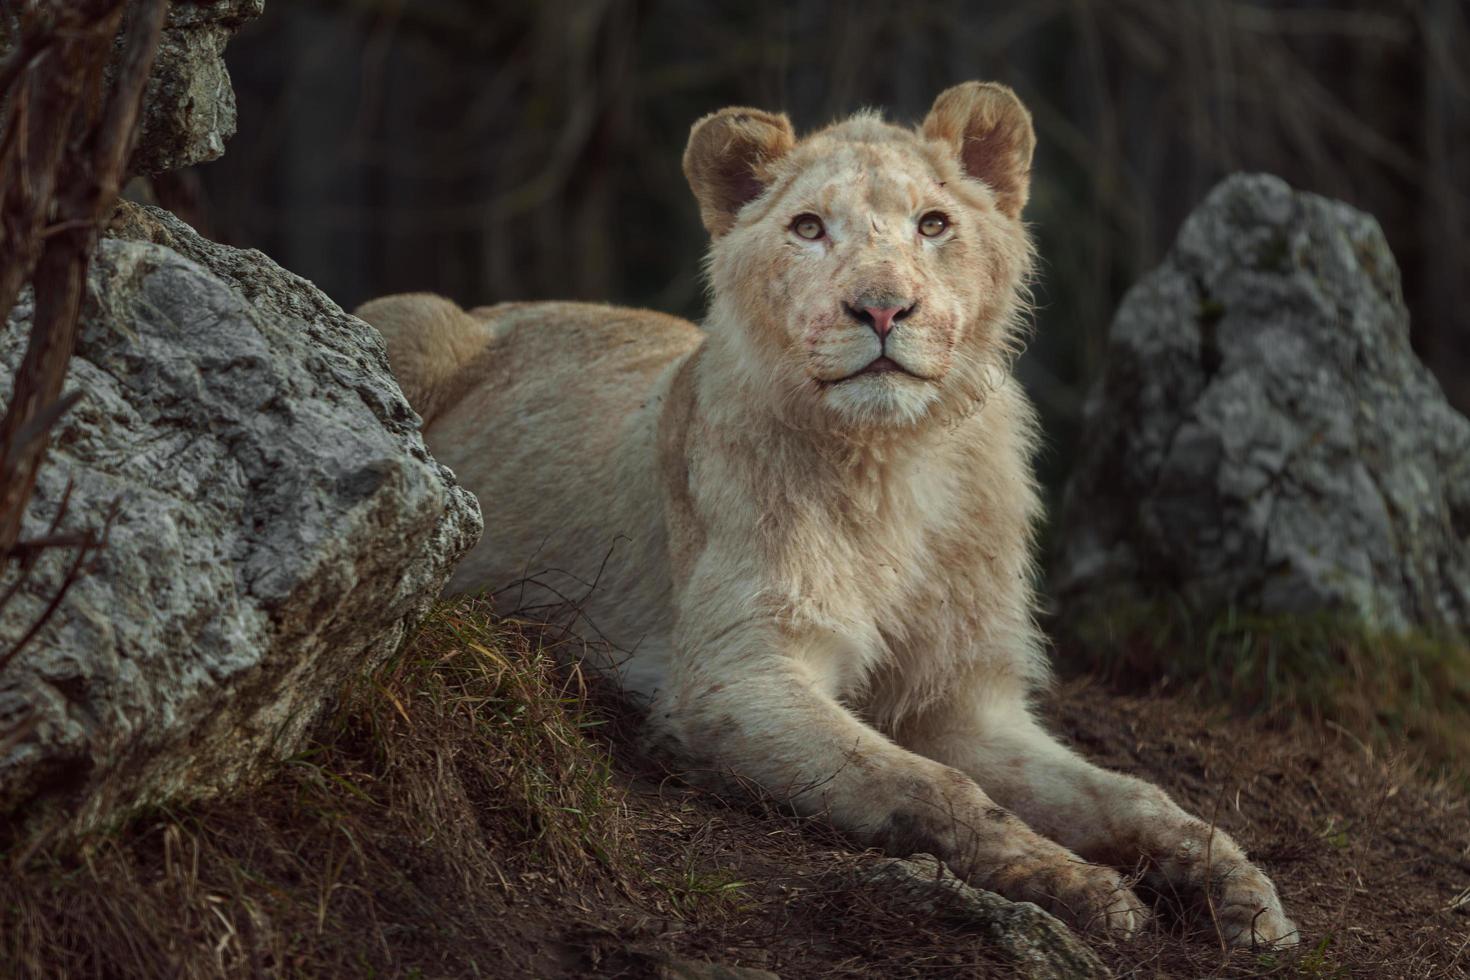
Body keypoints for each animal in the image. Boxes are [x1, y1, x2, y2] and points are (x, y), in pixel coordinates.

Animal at [355, 84, 1299, 952]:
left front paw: (1236, 888)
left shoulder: (960, 703)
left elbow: (1126, 793)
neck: (895, 466)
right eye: (809, 228)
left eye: (932, 225)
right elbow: (933, 787)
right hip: (405, 328)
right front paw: (1082, 888)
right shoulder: (732, 678)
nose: (882, 308)